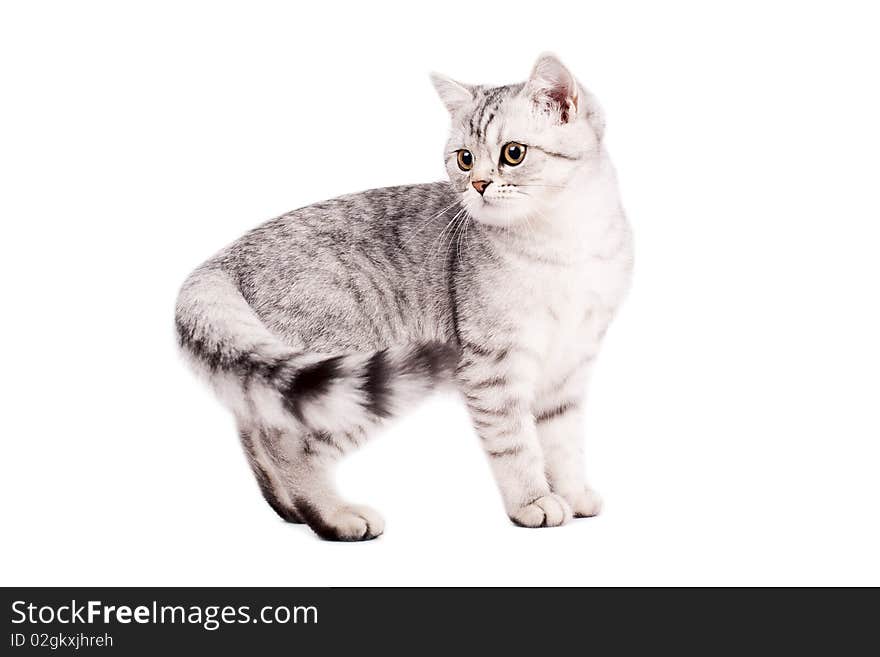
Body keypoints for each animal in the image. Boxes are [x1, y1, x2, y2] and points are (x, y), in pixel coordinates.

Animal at [175, 53, 632, 540]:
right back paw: (334, 516)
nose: (478, 184)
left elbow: (563, 442)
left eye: (513, 153)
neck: (565, 244)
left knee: (254, 422)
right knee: (287, 442)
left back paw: (290, 509)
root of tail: (228, 255)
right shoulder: (492, 367)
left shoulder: (570, 364)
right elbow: (515, 445)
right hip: (350, 375)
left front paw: (572, 492)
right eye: (465, 159)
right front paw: (532, 501)